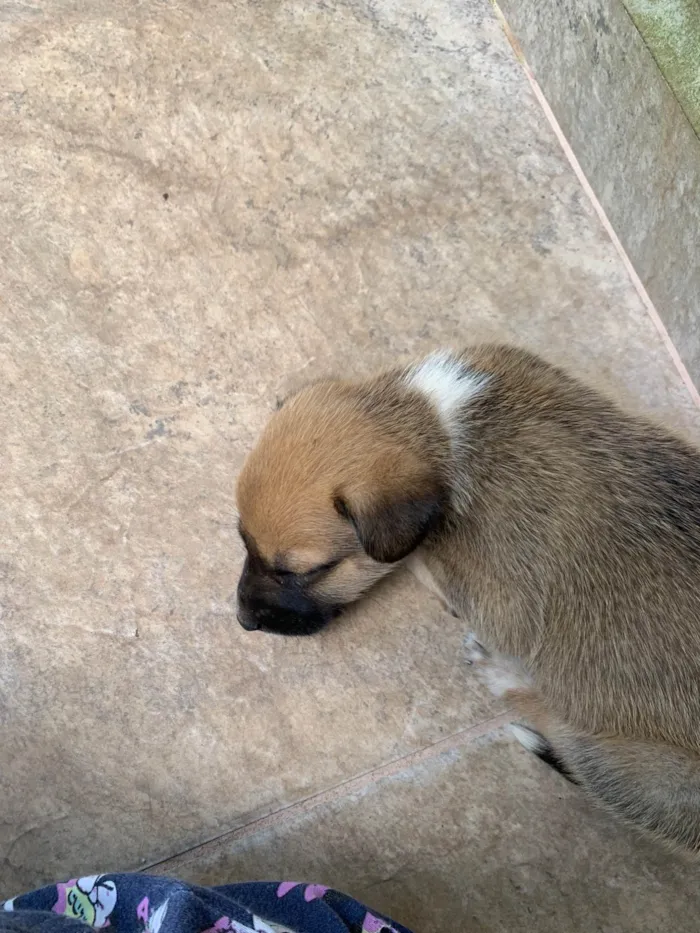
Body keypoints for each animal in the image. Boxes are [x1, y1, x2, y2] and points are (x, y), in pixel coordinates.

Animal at [235, 344, 700, 852]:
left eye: (304, 572)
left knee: (563, 732)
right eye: (242, 541)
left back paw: (502, 674)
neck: (442, 424)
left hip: (640, 767)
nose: (242, 622)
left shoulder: (500, 602)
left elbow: (421, 558)